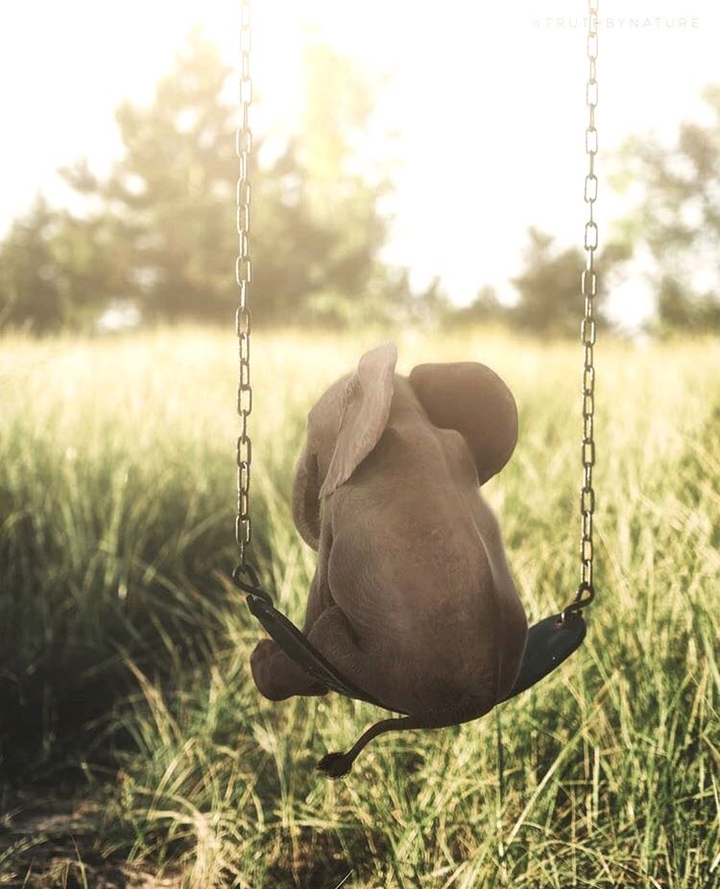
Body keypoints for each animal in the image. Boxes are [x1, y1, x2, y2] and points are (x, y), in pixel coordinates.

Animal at [250, 341, 528, 777]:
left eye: (309, 427)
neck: (394, 405)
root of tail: (470, 705)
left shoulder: (340, 504)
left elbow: (319, 599)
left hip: (377, 669)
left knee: (323, 637)